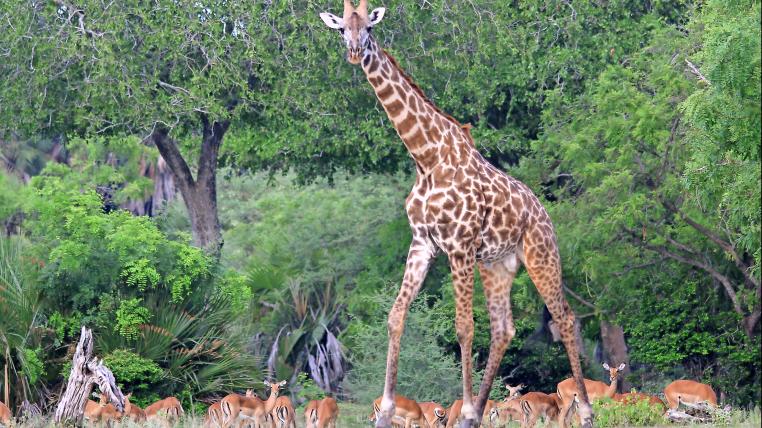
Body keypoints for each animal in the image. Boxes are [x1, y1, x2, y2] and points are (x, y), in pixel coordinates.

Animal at [319, 2, 593, 427]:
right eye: (341, 29)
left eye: (368, 27)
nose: (353, 52)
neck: (426, 157)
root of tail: (544, 212)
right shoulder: (423, 243)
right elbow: (396, 316)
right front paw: (386, 412)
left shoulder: (459, 245)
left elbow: (464, 326)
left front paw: (461, 406)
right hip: (497, 264)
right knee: (504, 329)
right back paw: (476, 414)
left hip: (540, 254)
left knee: (563, 318)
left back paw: (585, 410)